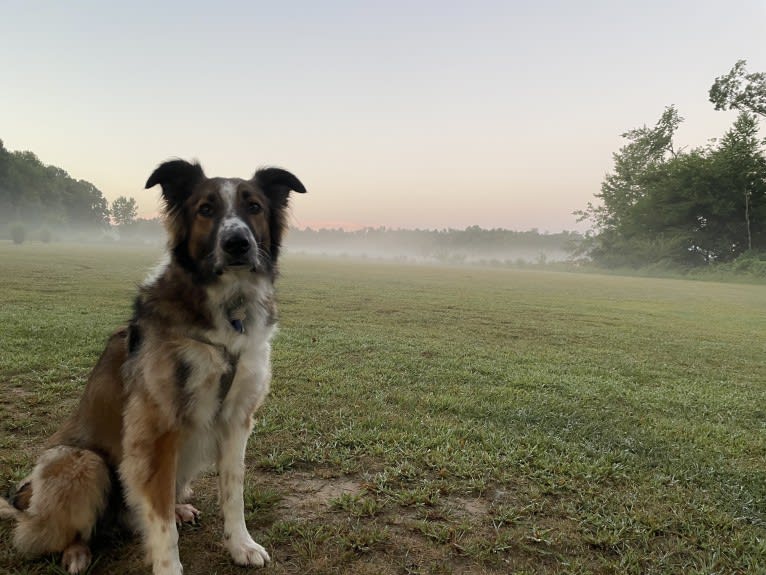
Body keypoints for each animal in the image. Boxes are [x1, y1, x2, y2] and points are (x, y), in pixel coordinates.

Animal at [0, 159, 306, 575]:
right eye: (206, 209)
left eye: (254, 207)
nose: (237, 243)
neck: (225, 310)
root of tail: (25, 499)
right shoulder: (157, 431)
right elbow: (159, 521)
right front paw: (168, 566)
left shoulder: (236, 421)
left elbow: (233, 493)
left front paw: (241, 545)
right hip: (82, 462)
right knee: (56, 531)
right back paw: (77, 552)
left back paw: (179, 509)